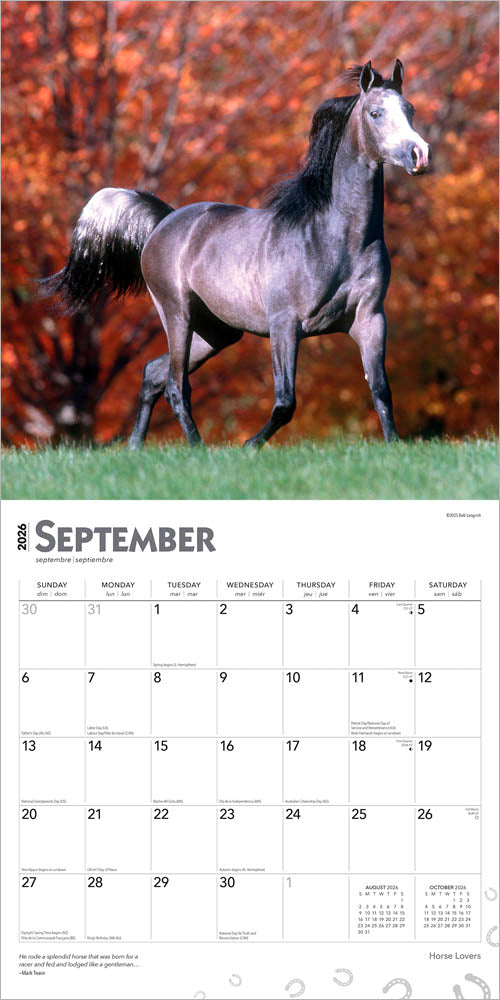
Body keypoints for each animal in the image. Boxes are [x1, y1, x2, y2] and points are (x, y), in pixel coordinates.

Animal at [41, 60, 431, 448]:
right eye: (375, 113)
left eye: (410, 109)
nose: (420, 154)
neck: (336, 239)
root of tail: (164, 221)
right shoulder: (284, 324)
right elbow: (285, 402)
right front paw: (249, 446)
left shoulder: (370, 319)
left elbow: (380, 390)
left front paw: (394, 446)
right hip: (177, 315)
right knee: (175, 386)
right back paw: (198, 448)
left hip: (217, 332)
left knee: (153, 373)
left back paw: (136, 446)